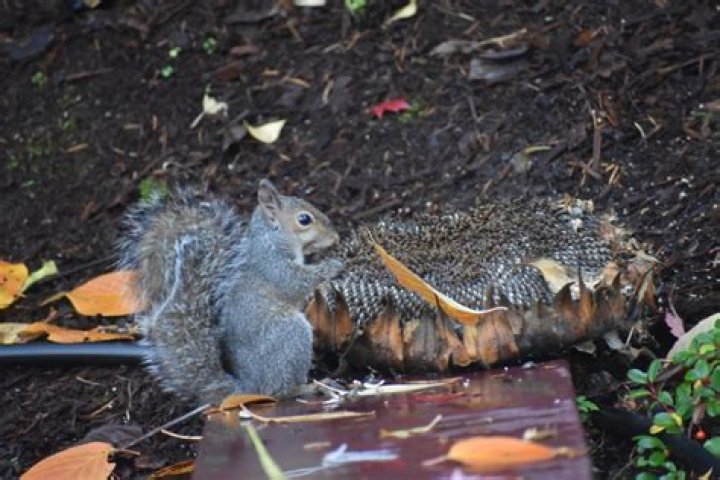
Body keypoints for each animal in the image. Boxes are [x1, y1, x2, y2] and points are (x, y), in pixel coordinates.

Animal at [119, 180, 342, 406]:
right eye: (304, 219)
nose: (336, 238)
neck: (272, 238)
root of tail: (248, 388)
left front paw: (324, 287)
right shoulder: (273, 266)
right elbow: (296, 282)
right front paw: (332, 266)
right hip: (290, 335)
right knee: (278, 391)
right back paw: (310, 387)